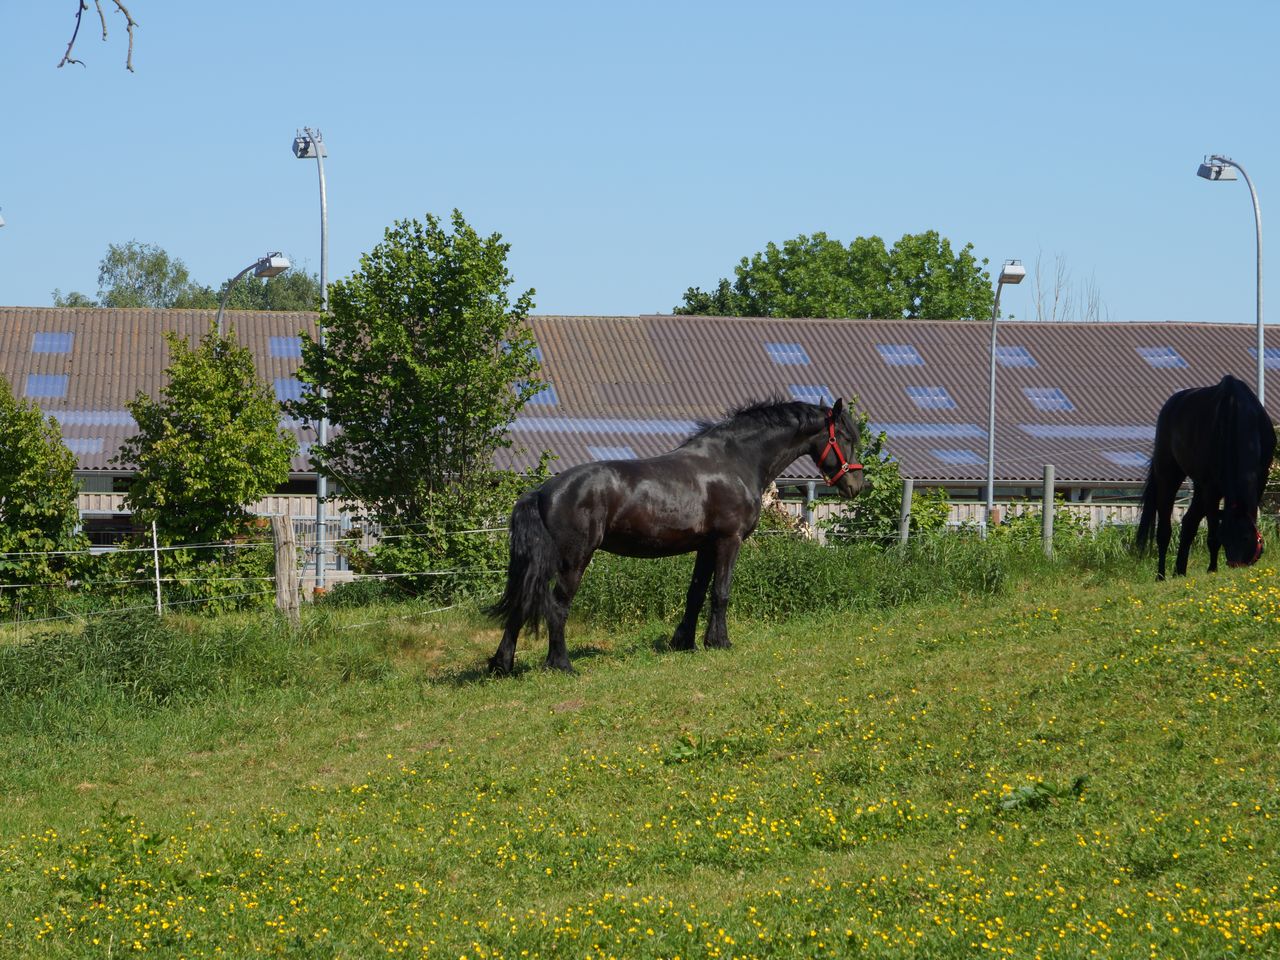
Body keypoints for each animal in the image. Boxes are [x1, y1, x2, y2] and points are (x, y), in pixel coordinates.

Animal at [483, 399, 865, 675]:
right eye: (847, 438)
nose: (856, 485)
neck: (735, 460)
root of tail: (543, 491)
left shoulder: (706, 547)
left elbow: (695, 594)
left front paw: (684, 642)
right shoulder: (728, 541)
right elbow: (720, 593)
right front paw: (719, 642)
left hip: (542, 563)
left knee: (522, 603)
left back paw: (502, 665)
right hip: (573, 560)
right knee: (557, 606)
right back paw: (561, 664)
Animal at [1141, 378, 1269, 578]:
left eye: (1246, 537)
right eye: (1224, 537)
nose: (1235, 565)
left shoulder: (1260, 478)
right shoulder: (1211, 488)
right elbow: (1212, 534)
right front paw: (1212, 569)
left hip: (1199, 488)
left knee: (1189, 522)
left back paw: (1179, 571)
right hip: (1169, 476)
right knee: (1164, 530)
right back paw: (1161, 575)